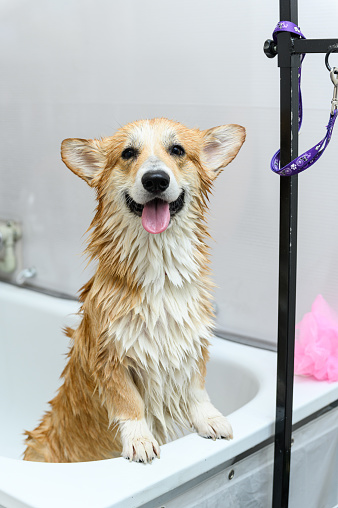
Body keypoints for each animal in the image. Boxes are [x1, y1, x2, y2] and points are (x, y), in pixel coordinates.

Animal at [24, 117, 246, 462]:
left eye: (177, 150)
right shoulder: (111, 357)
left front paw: (209, 418)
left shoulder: (192, 341)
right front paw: (140, 440)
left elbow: (196, 388)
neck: (160, 270)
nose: (155, 180)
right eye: (128, 153)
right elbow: (129, 403)